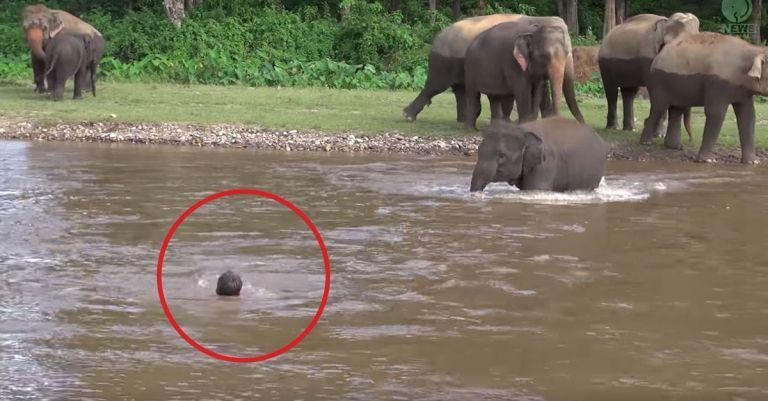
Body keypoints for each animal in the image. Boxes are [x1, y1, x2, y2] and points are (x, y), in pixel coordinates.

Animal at [402, 14, 584, 125]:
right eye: (545, 56)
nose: (583, 123)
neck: (537, 19)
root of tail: (436, 38)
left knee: (459, 90)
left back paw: (463, 120)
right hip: (443, 62)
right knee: (434, 86)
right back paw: (408, 116)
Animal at [640, 32, 768, 164]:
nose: (691, 140)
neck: (753, 49)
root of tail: (659, 54)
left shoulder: (742, 91)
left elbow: (748, 115)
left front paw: (753, 162)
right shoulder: (717, 83)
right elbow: (716, 113)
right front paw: (708, 160)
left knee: (677, 110)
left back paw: (675, 147)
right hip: (658, 83)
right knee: (658, 108)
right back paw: (646, 142)